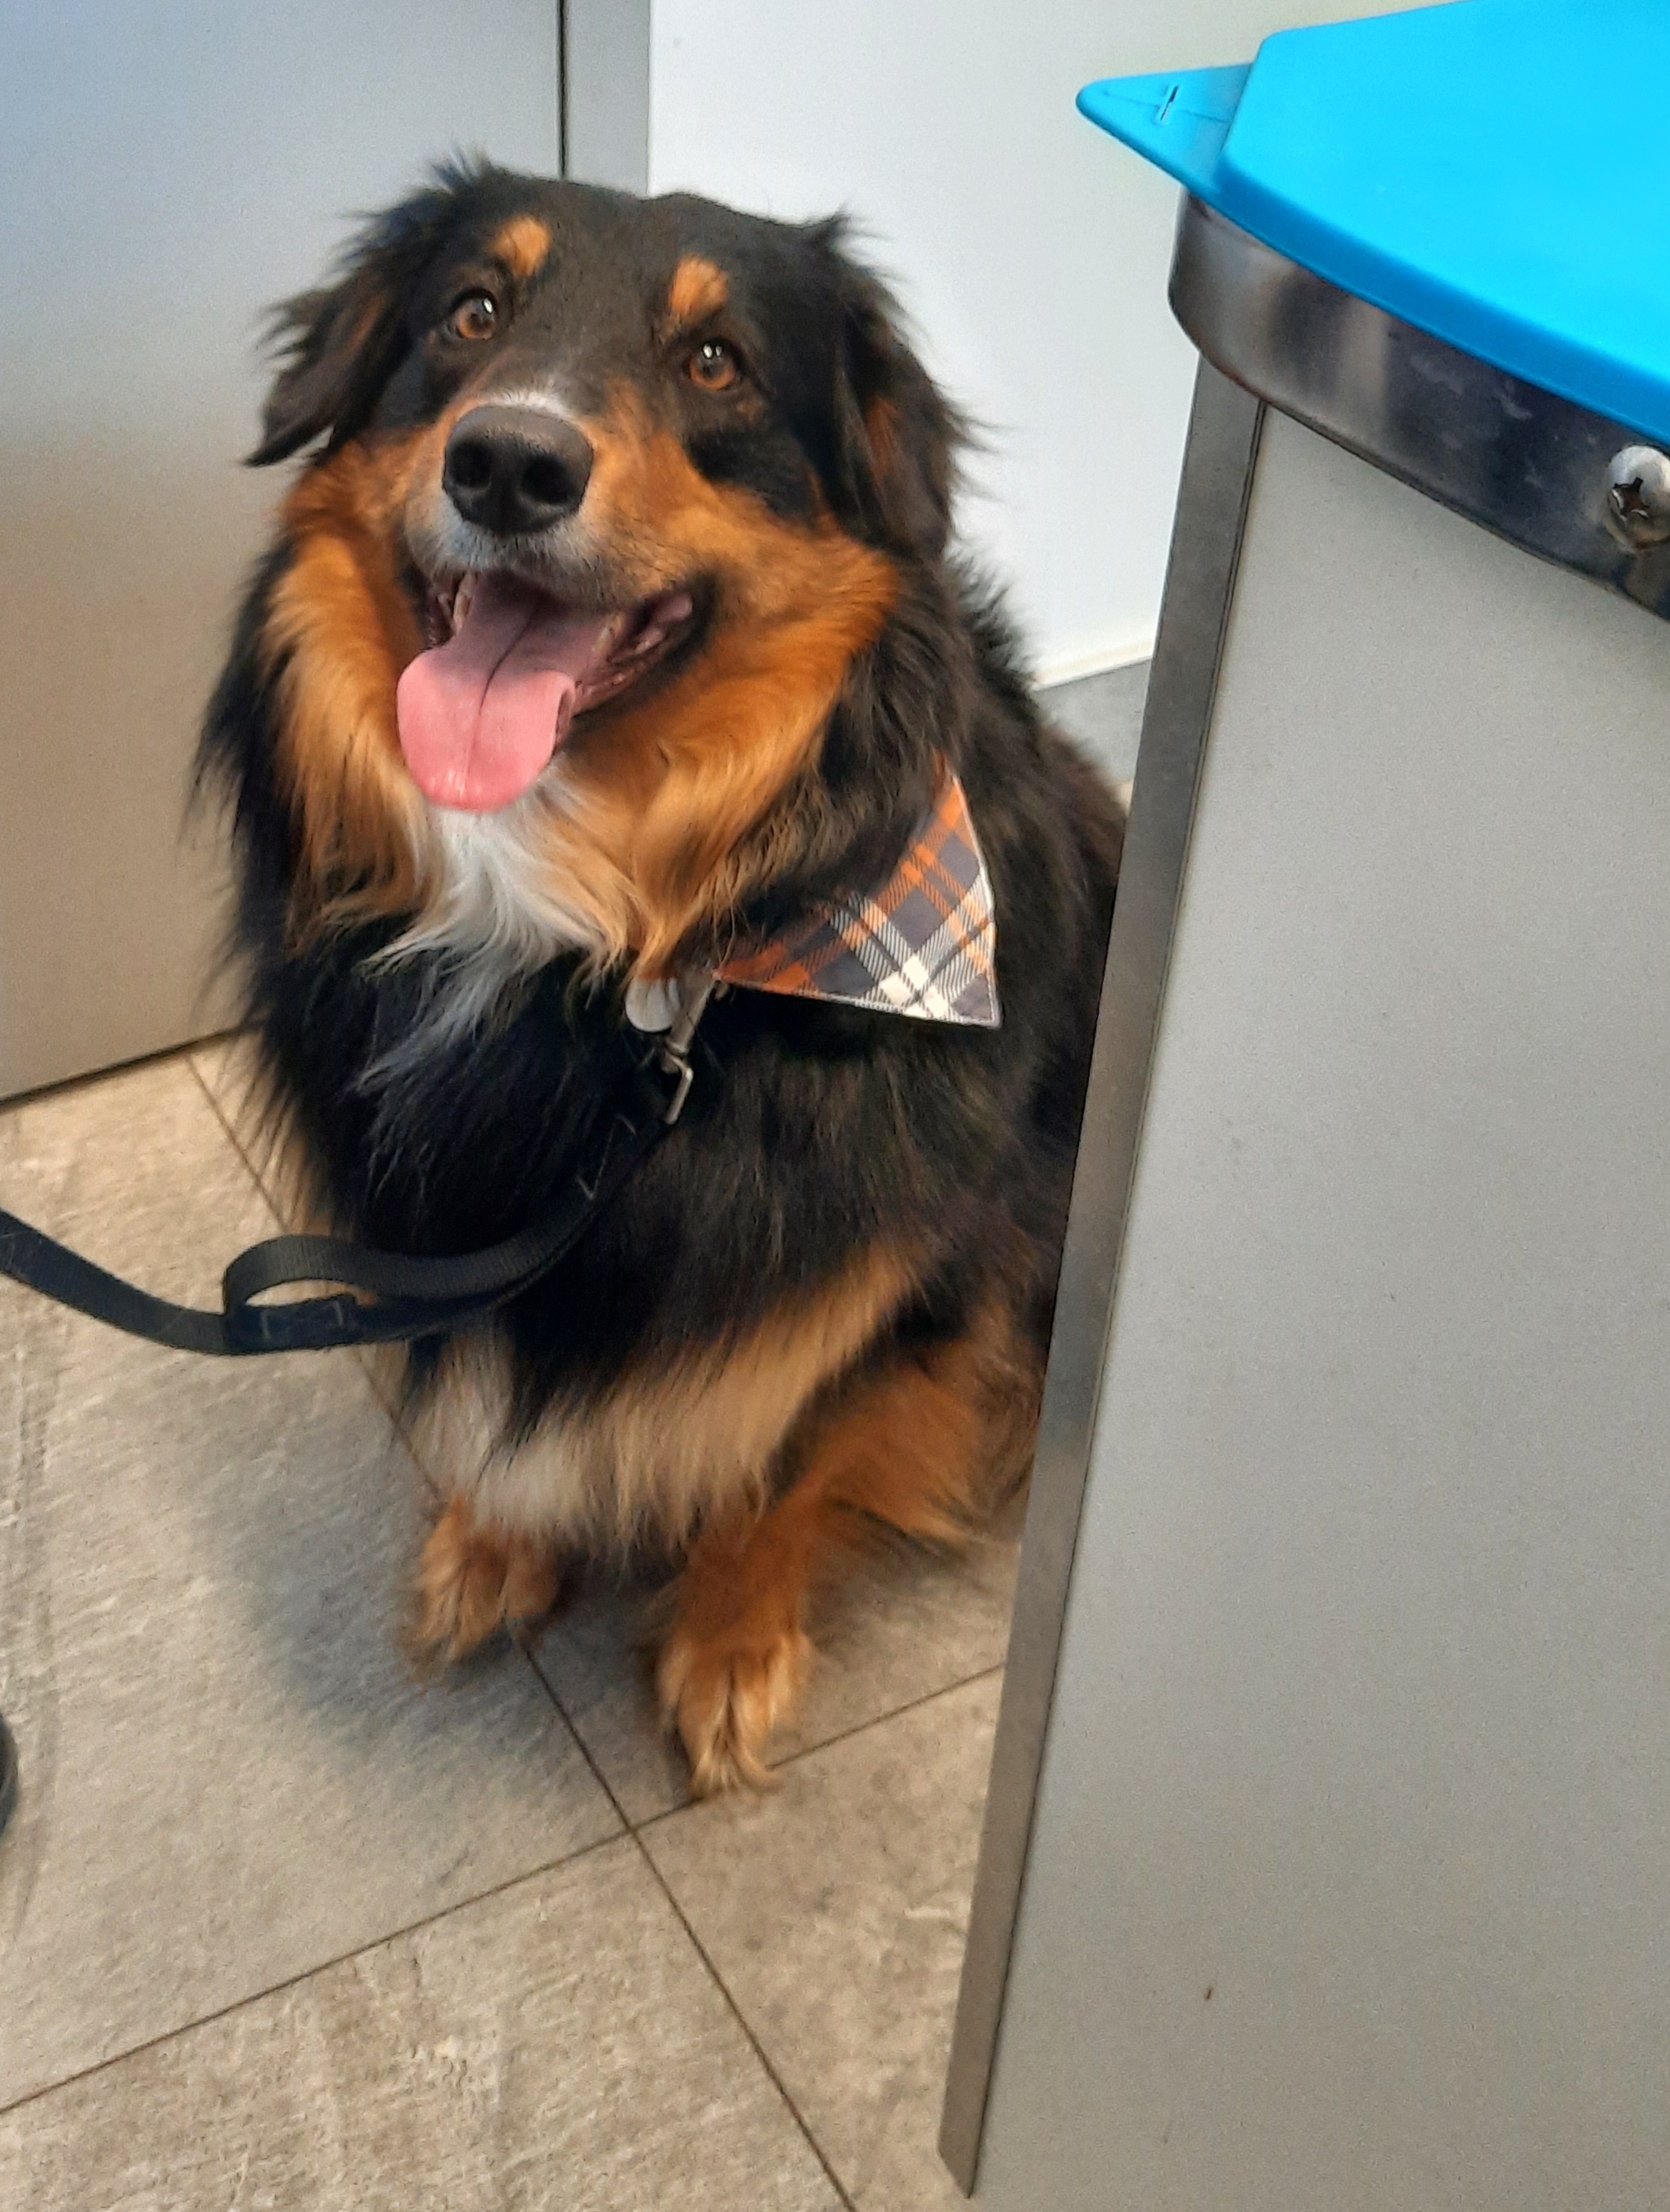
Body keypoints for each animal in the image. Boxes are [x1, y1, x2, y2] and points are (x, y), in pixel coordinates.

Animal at [198, 161, 1124, 1793]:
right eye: (471, 312)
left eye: (715, 362)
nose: (507, 463)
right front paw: (498, 1541)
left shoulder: (911, 1260)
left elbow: (787, 1461)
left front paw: (731, 1645)